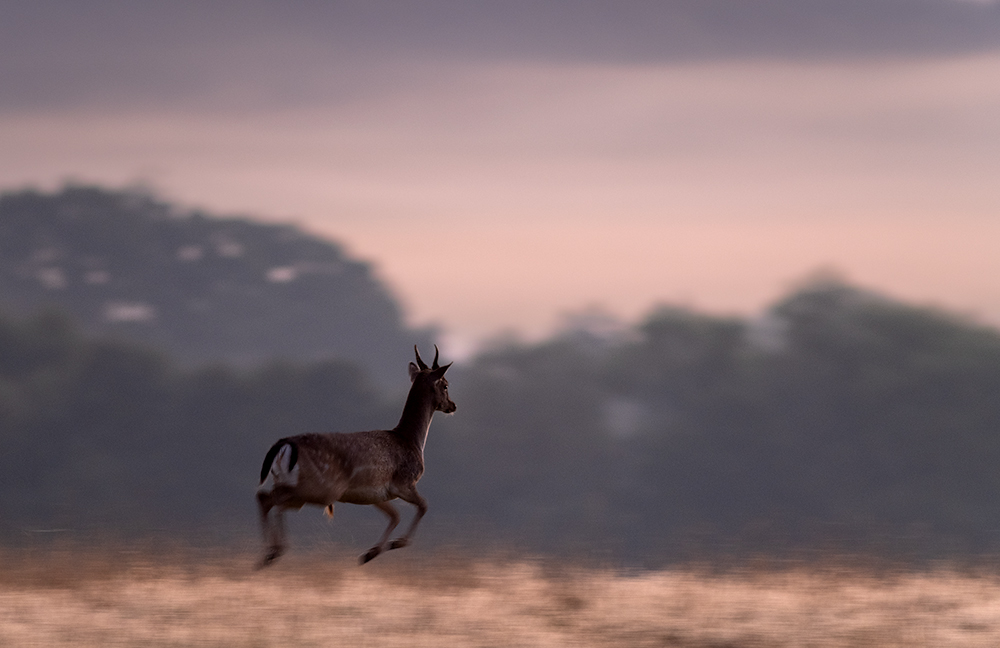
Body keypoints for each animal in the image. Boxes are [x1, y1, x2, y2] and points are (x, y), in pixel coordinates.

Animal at [256, 345, 456, 567]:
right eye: (445, 385)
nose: (453, 405)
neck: (411, 441)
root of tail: (284, 445)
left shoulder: (377, 493)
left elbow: (395, 515)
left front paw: (370, 553)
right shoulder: (404, 482)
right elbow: (423, 505)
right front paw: (396, 543)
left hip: (290, 483)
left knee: (264, 497)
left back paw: (267, 555)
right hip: (321, 488)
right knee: (271, 501)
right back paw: (273, 552)